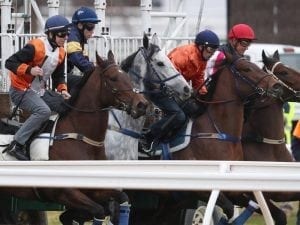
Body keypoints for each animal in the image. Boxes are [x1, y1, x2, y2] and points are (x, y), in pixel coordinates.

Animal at [0, 50, 148, 225]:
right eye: (113, 78)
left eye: (127, 76)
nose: (142, 104)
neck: (80, 137)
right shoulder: (64, 192)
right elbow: (98, 210)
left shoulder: (96, 186)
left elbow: (121, 200)